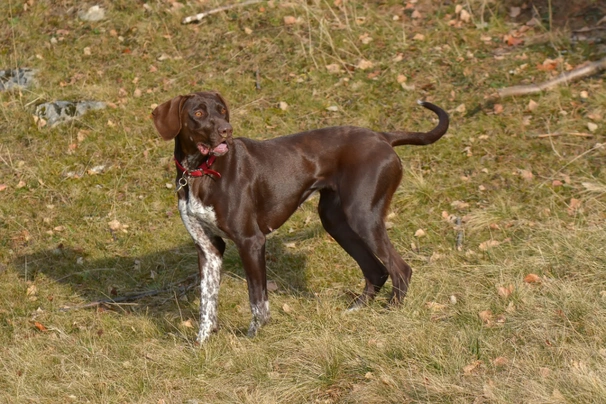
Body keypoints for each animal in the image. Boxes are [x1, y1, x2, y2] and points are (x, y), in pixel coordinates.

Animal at [152, 90, 448, 340]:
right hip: (336, 222)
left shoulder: (251, 241)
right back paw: (356, 311)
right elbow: (207, 303)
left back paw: (391, 313)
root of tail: (382, 136)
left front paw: (254, 337)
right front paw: (203, 343)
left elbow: (257, 299)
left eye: (222, 110)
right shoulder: (208, 249)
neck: (199, 171)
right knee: (376, 271)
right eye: (198, 113)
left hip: (363, 216)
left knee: (400, 269)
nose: (227, 130)